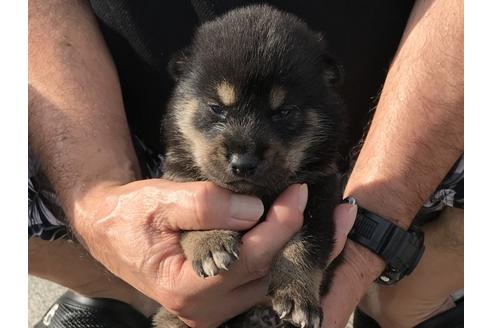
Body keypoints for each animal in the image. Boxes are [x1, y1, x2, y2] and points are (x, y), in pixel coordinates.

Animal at [154, 5, 346, 328]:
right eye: (217, 108)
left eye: (284, 112)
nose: (243, 163)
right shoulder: (179, 179)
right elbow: (195, 211)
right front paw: (211, 243)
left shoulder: (318, 192)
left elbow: (305, 243)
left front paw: (297, 294)